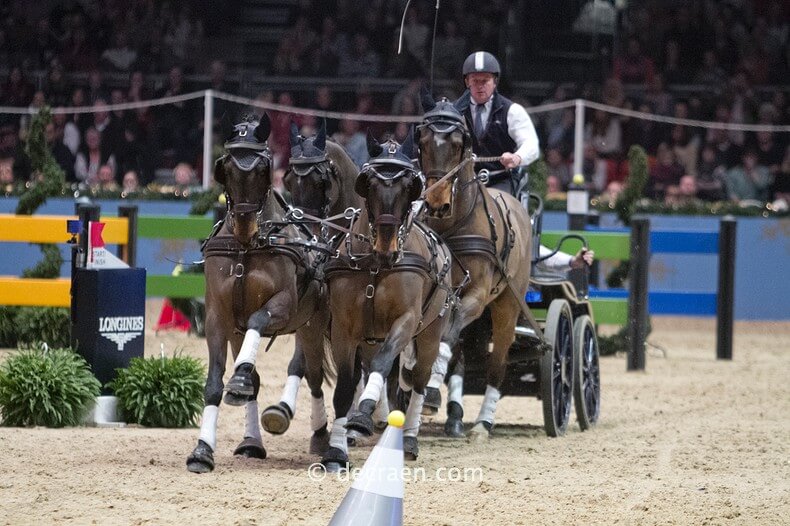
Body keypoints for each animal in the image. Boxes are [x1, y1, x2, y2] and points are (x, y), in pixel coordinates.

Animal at [186, 114, 332, 473]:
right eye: (227, 168)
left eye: (262, 168)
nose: (245, 226)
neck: (245, 249)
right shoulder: (218, 319)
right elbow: (214, 385)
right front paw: (202, 451)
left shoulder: (282, 306)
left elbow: (258, 319)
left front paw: (237, 381)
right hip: (240, 333)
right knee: (258, 378)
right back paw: (252, 440)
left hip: (312, 324)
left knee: (315, 375)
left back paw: (322, 436)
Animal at [320, 133, 455, 467]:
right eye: (369, 185)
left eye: (409, 186)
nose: (386, 246)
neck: (375, 265)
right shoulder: (343, 329)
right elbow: (345, 387)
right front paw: (336, 451)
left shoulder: (405, 321)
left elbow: (383, 365)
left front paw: (363, 415)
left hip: (430, 334)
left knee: (418, 382)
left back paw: (409, 438)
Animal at [416, 92, 534, 440]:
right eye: (422, 140)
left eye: (459, 143)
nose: (437, 203)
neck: (453, 227)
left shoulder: (478, 295)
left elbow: (446, 338)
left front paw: (430, 393)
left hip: (508, 303)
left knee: (498, 362)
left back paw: (483, 423)